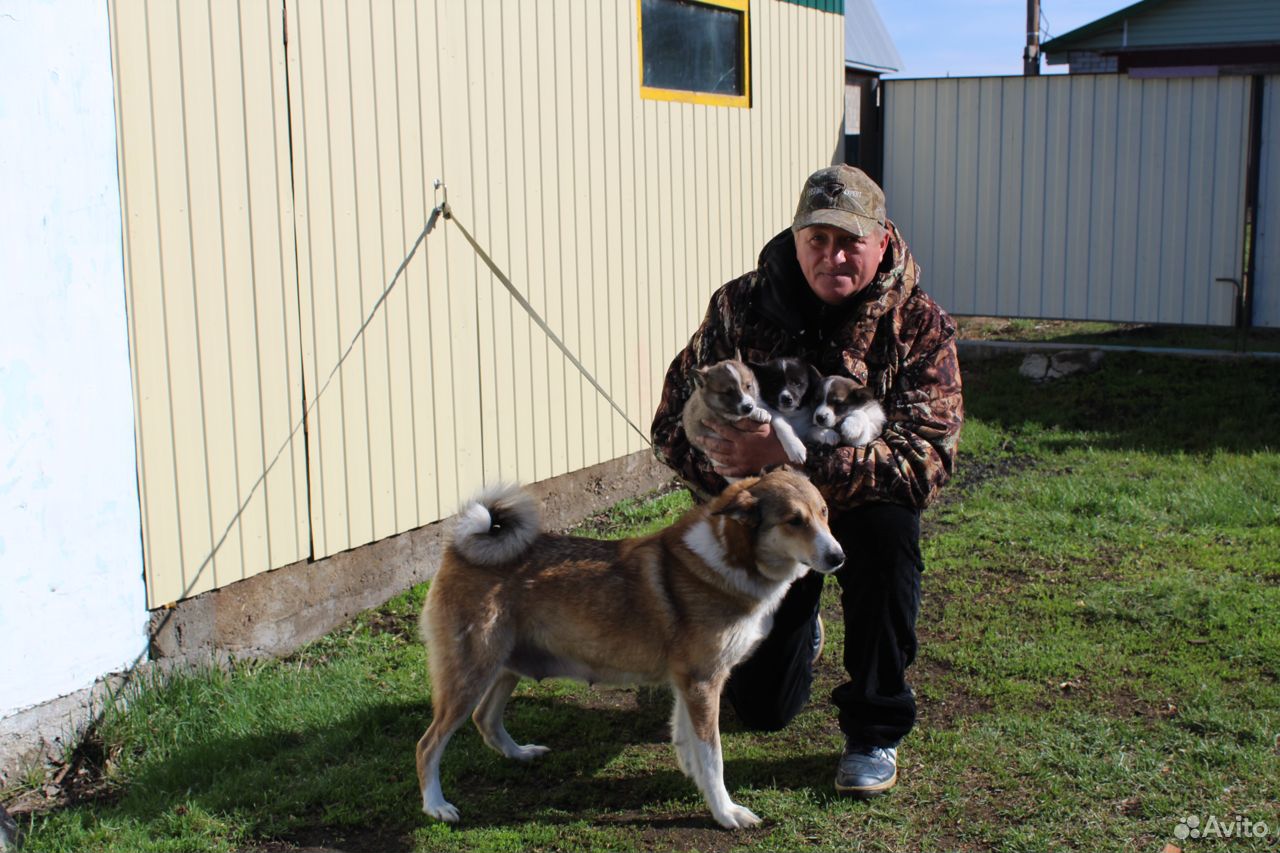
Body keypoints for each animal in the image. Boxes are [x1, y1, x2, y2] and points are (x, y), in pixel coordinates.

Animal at [414, 468, 844, 824]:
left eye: (825, 512)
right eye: (794, 521)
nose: (838, 556)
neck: (730, 559)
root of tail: (458, 549)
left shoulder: (688, 685)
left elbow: (687, 741)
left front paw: (697, 783)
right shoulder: (704, 683)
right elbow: (714, 757)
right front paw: (725, 812)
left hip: (504, 667)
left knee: (485, 720)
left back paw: (520, 753)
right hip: (470, 675)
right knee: (427, 745)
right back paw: (436, 806)